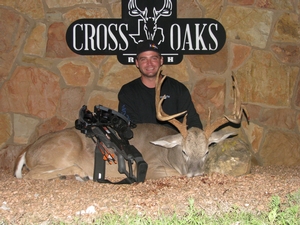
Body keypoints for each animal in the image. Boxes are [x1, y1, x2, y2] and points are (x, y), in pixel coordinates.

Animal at [14, 72, 247, 181]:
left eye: (207, 151)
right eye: (184, 151)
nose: (196, 174)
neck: (167, 155)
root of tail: (28, 150)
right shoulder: (152, 168)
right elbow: (174, 175)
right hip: (64, 148)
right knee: (30, 174)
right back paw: (77, 173)